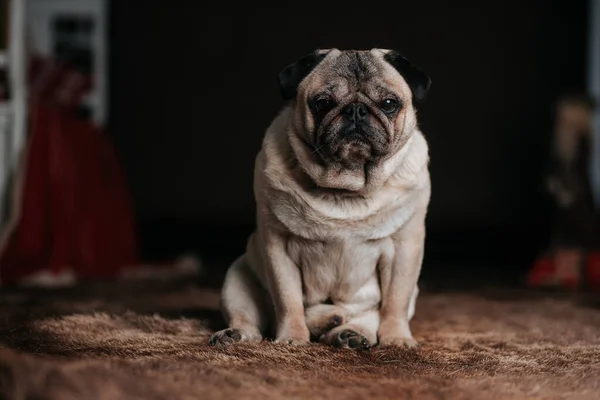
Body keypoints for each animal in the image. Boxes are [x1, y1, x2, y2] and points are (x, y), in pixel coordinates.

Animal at [211, 48, 432, 350]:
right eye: (322, 103)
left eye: (389, 103)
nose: (355, 110)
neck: (347, 186)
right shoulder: (277, 247)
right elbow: (288, 299)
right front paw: (292, 338)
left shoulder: (404, 248)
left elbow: (394, 301)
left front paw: (396, 338)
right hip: (237, 277)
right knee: (248, 317)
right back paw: (236, 335)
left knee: (369, 316)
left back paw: (349, 334)